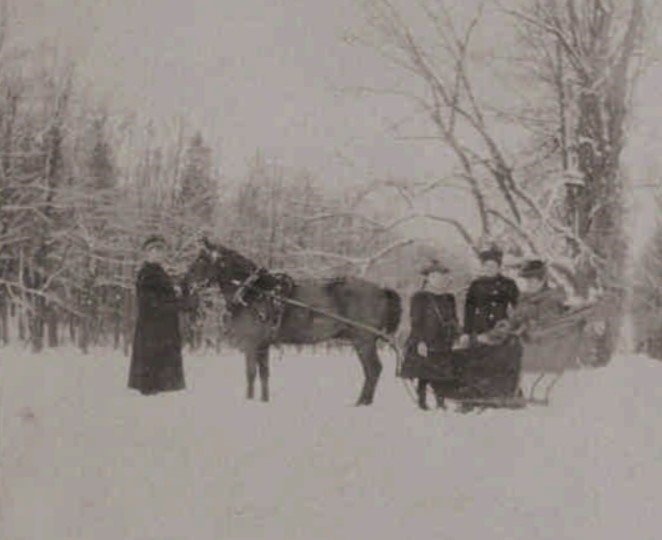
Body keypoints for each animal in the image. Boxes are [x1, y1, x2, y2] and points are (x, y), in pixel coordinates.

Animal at [182, 237, 402, 404]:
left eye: (201, 259)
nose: (185, 284)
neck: (253, 293)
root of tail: (382, 289)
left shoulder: (251, 344)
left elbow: (250, 374)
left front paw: (249, 401)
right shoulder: (263, 345)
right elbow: (264, 375)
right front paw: (263, 401)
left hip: (363, 340)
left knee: (373, 370)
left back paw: (362, 403)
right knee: (371, 371)